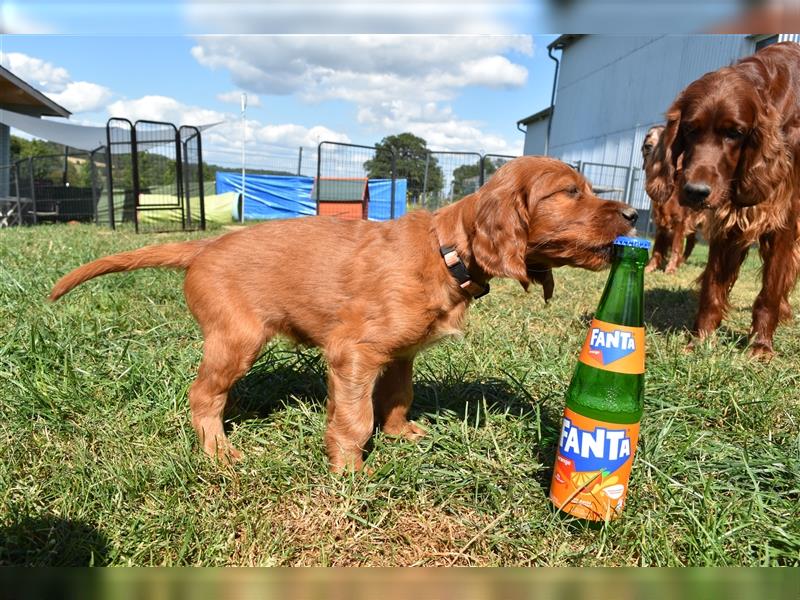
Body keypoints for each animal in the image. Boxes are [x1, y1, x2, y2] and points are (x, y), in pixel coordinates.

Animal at [50, 157, 636, 472]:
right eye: (570, 192)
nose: (634, 214)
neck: (444, 251)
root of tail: (204, 246)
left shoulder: (400, 354)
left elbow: (397, 397)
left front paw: (400, 435)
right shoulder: (354, 353)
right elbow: (356, 418)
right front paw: (349, 470)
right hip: (236, 339)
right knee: (204, 396)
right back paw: (219, 452)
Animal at [640, 124, 704, 274]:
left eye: (664, 136)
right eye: (648, 136)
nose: (647, 146)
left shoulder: (681, 222)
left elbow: (675, 247)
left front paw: (670, 269)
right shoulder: (660, 222)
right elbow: (657, 248)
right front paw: (650, 267)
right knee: (692, 242)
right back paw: (681, 261)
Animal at [648, 42, 800, 356]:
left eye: (735, 132)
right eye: (690, 129)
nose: (695, 191)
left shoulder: (782, 218)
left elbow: (770, 290)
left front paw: (761, 347)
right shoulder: (727, 217)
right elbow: (712, 287)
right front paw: (701, 339)